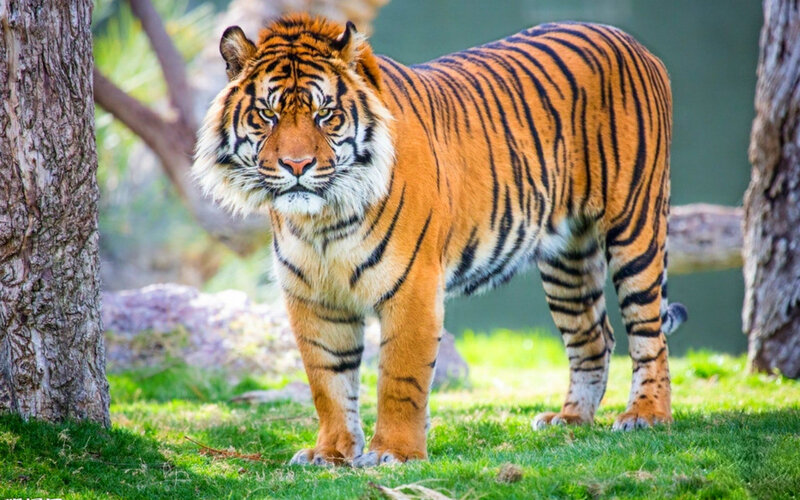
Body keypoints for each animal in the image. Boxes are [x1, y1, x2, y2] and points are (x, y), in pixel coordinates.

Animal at [193, 13, 688, 466]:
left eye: (325, 114)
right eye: (268, 114)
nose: (297, 166)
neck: (323, 221)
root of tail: (626, 39)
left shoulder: (412, 286)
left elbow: (400, 378)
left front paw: (394, 453)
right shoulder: (313, 297)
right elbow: (328, 382)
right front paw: (330, 453)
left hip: (635, 227)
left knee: (647, 333)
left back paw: (646, 415)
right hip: (567, 257)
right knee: (594, 336)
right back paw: (570, 419)